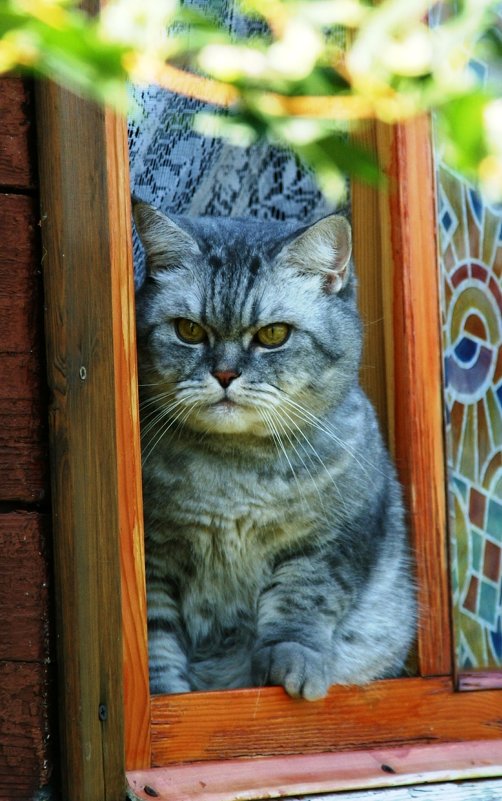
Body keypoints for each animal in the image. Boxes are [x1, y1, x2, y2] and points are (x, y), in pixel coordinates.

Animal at [133, 202, 416, 700]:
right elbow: (157, 641)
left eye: (273, 335)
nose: (225, 374)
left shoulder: (333, 541)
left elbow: (302, 601)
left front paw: (292, 662)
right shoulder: (155, 558)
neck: (235, 472)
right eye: (189, 330)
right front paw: (167, 694)